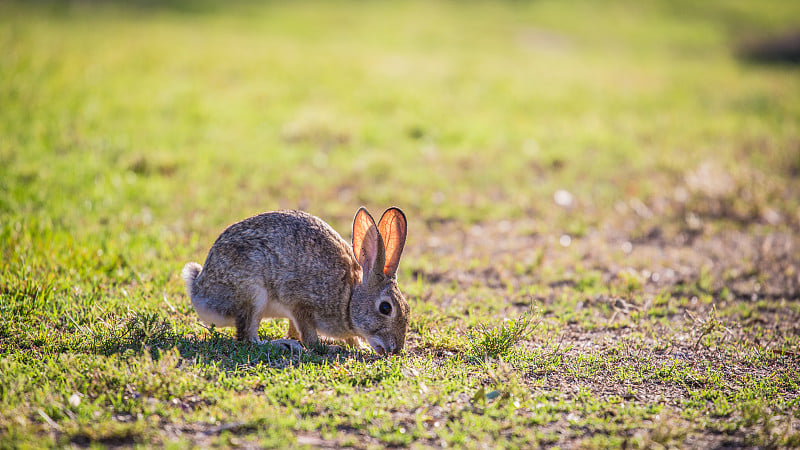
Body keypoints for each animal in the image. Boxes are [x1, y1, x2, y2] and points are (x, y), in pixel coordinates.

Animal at [181, 207, 406, 356]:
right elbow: (308, 334)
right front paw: (326, 347)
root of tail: (199, 292)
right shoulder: (301, 304)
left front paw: (358, 346)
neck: (349, 298)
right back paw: (281, 345)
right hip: (252, 293)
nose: (395, 350)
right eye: (385, 308)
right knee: (248, 338)